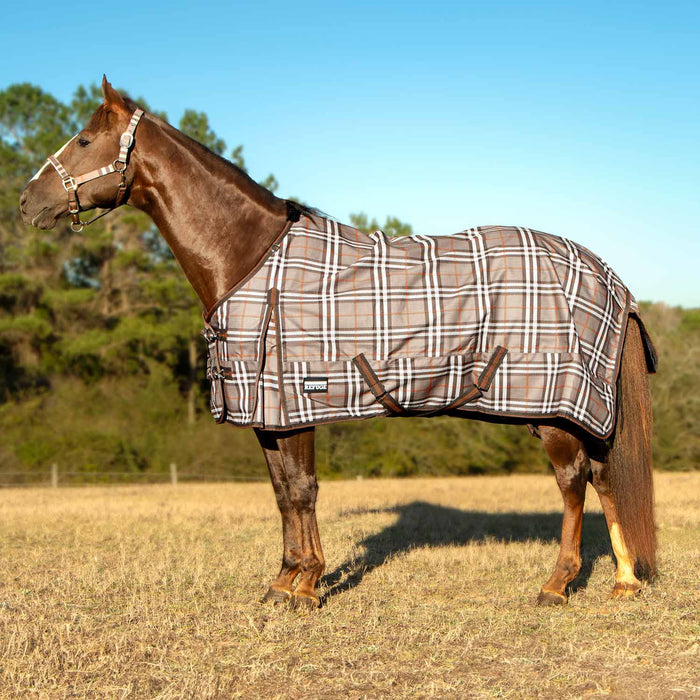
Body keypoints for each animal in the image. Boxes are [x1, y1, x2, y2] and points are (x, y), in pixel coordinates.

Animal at [19, 77, 657, 610]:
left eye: (83, 140)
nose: (27, 201)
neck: (250, 258)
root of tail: (607, 274)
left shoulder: (295, 401)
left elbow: (302, 491)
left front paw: (306, 586)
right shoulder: (266, 416)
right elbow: (282, 493)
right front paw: (282, 581)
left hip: (554, 410)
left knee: (573, 484)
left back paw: (556, 584)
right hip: (581, 412)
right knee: (603, 478)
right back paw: (624, 580)